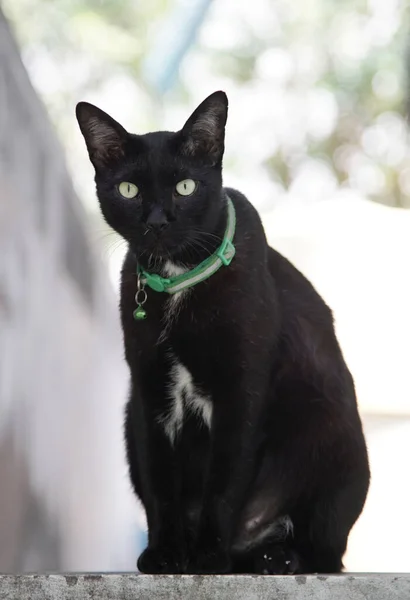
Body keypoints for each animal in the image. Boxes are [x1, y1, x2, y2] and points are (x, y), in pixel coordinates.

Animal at [75, 91, 370, 576]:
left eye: (185, 187)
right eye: (129, 190)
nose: (158, 220)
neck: (179, 281)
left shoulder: (241, 391)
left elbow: (224, 483)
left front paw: (208, 558)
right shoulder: (148, 390)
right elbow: (160, 484)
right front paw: (166, 554)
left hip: (332, 431)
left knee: (327, 552)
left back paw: (276, 557)